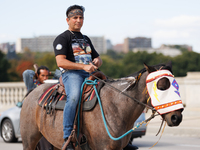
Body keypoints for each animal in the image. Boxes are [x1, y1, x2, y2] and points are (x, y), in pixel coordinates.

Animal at [19, 62, 183, 150]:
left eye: (176, 85)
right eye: (161, 86)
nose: (177, 117)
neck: (116, 106)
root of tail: (32, 91)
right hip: (30, 139)